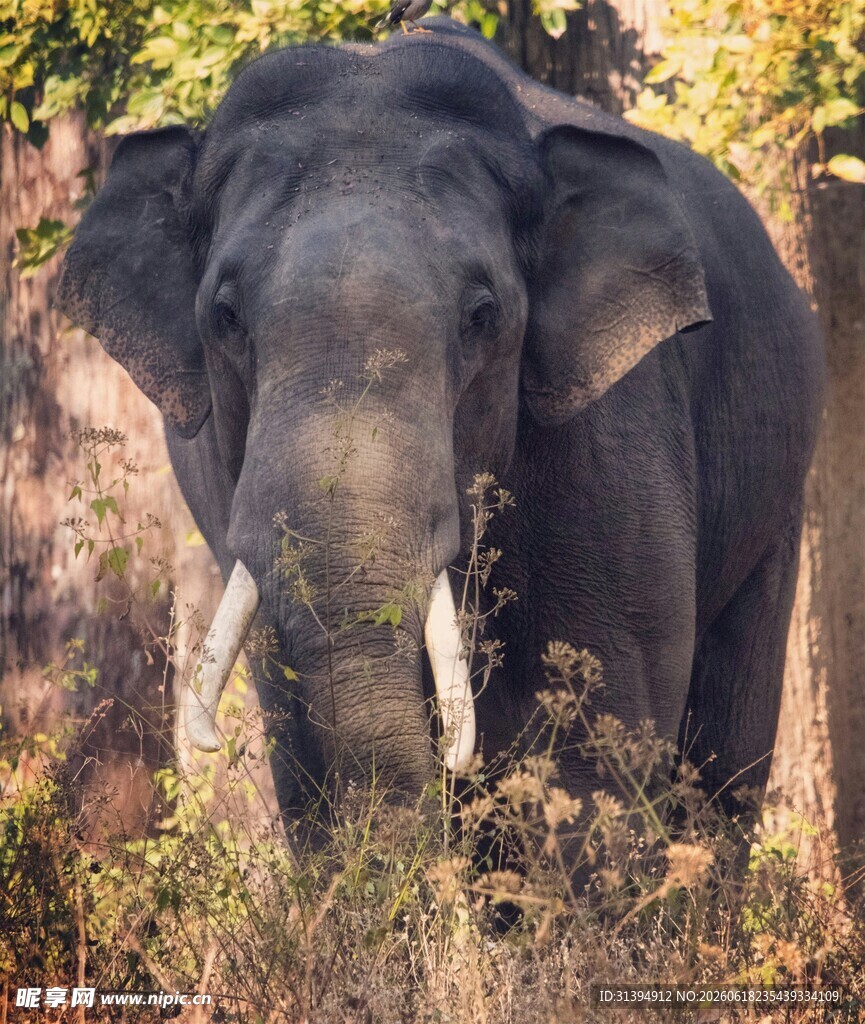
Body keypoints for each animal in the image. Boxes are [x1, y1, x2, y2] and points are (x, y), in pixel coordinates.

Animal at [58, 19, 824, 857]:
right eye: (224, 317)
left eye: (482, 316)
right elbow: (300, 752)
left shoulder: (614, 442)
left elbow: (591, 756)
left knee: (724, 752)